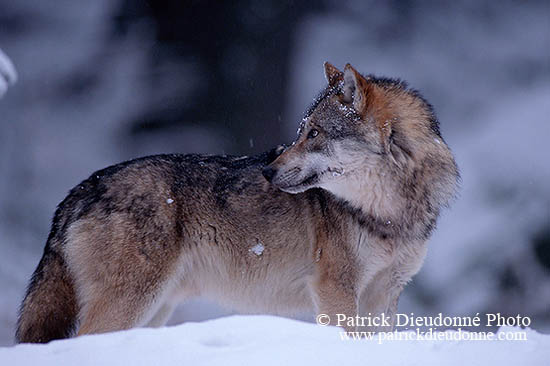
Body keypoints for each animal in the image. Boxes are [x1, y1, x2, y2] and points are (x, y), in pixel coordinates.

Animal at [15, 62, 460, 344]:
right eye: (301, 132)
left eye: (314, 134)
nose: (268, 171)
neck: (388, 213)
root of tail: (81, 189)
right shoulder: (335, 289)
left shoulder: (385, 295)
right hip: (132, 302)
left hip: (154, 310)